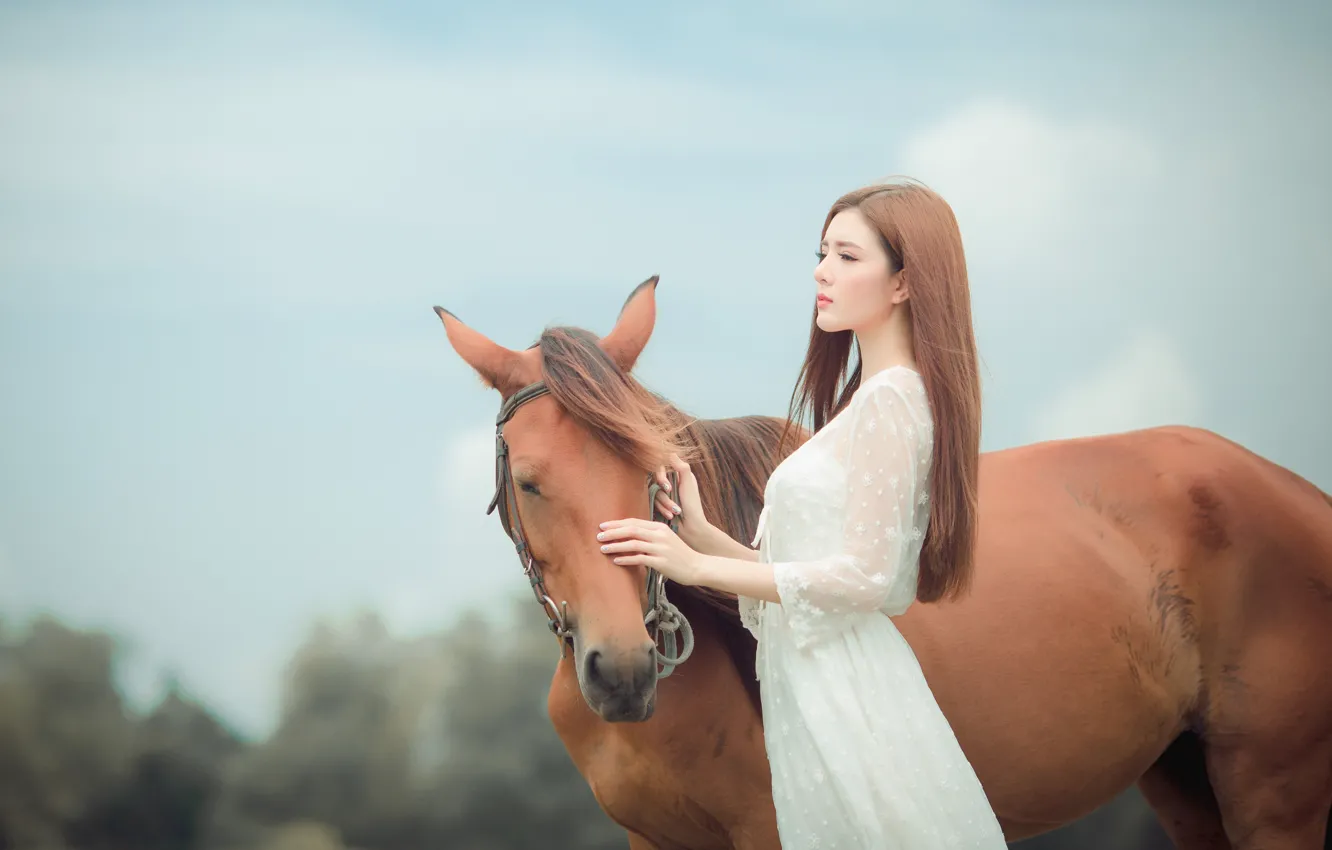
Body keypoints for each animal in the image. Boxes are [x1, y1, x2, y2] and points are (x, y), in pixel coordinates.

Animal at [435, 277, 1332, 849]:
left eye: (656, 472)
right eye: (530, 481)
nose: (623, 671)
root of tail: (1295, 493)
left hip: (1273, 794)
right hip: (1187, 784)